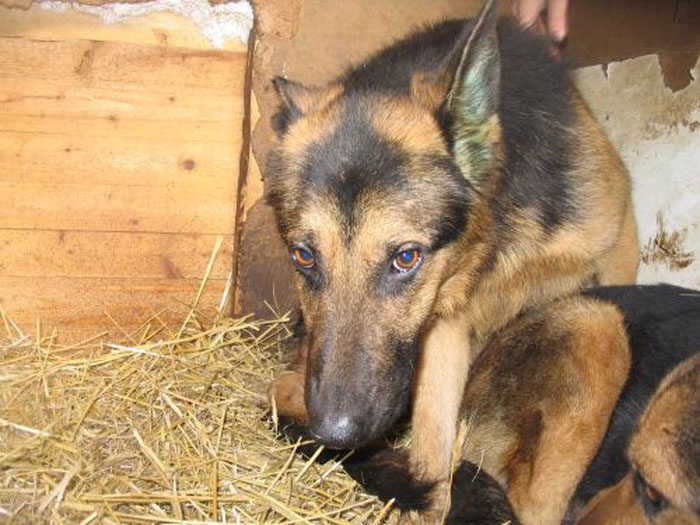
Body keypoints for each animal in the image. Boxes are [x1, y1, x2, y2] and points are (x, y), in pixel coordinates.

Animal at [266, 0, 639, 516]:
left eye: (406, 258)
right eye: (304, 256)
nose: (334, 432)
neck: (493, 245)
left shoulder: (617, 245)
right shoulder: (442, 329)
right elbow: (432, 458)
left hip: (593, 324)